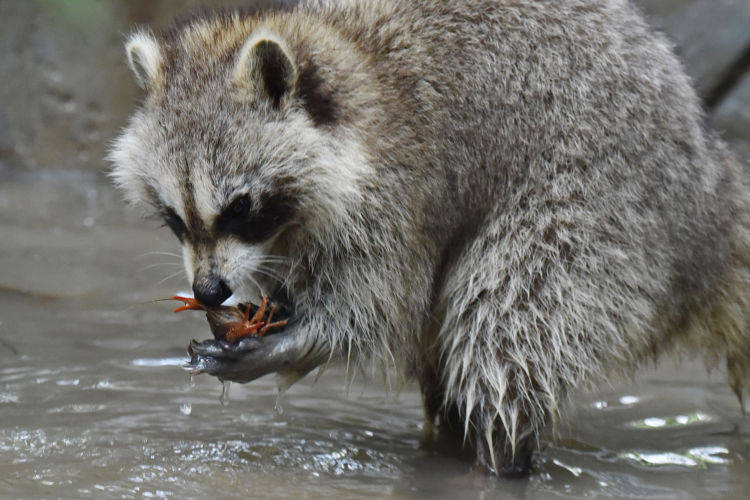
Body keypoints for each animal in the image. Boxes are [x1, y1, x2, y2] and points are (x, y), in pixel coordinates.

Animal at [108, 0, 750, 476]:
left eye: (240, 208)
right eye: (174, 217)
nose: (208, 291)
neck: (351, 61)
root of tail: (712, 186)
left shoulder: (403, 185)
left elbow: (379, 308)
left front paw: (290, 341)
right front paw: (268, 310)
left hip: (600, 198)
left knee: (503, 333)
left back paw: (501, 459)